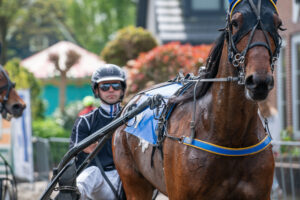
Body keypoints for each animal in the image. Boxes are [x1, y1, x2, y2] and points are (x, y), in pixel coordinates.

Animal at [113, 0, 284, 199]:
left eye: (278, 24)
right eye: (235, 23)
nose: (259, 81)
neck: (231, 137)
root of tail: (130, 104)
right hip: (134, 183)